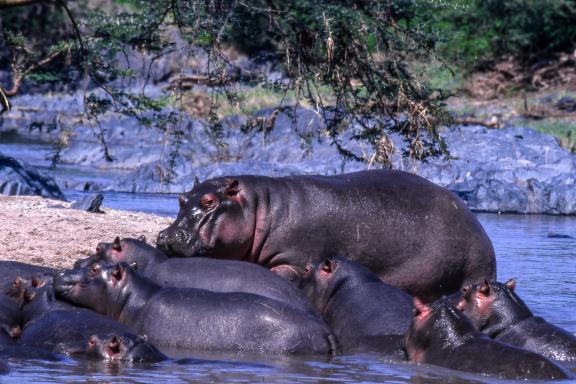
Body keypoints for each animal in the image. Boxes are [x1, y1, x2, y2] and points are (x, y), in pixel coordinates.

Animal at [156, 170, 496, 300]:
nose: (167, 235)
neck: (260, 206)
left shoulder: (294, 262)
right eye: (181, 198)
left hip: (472, 271)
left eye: (209, 201)